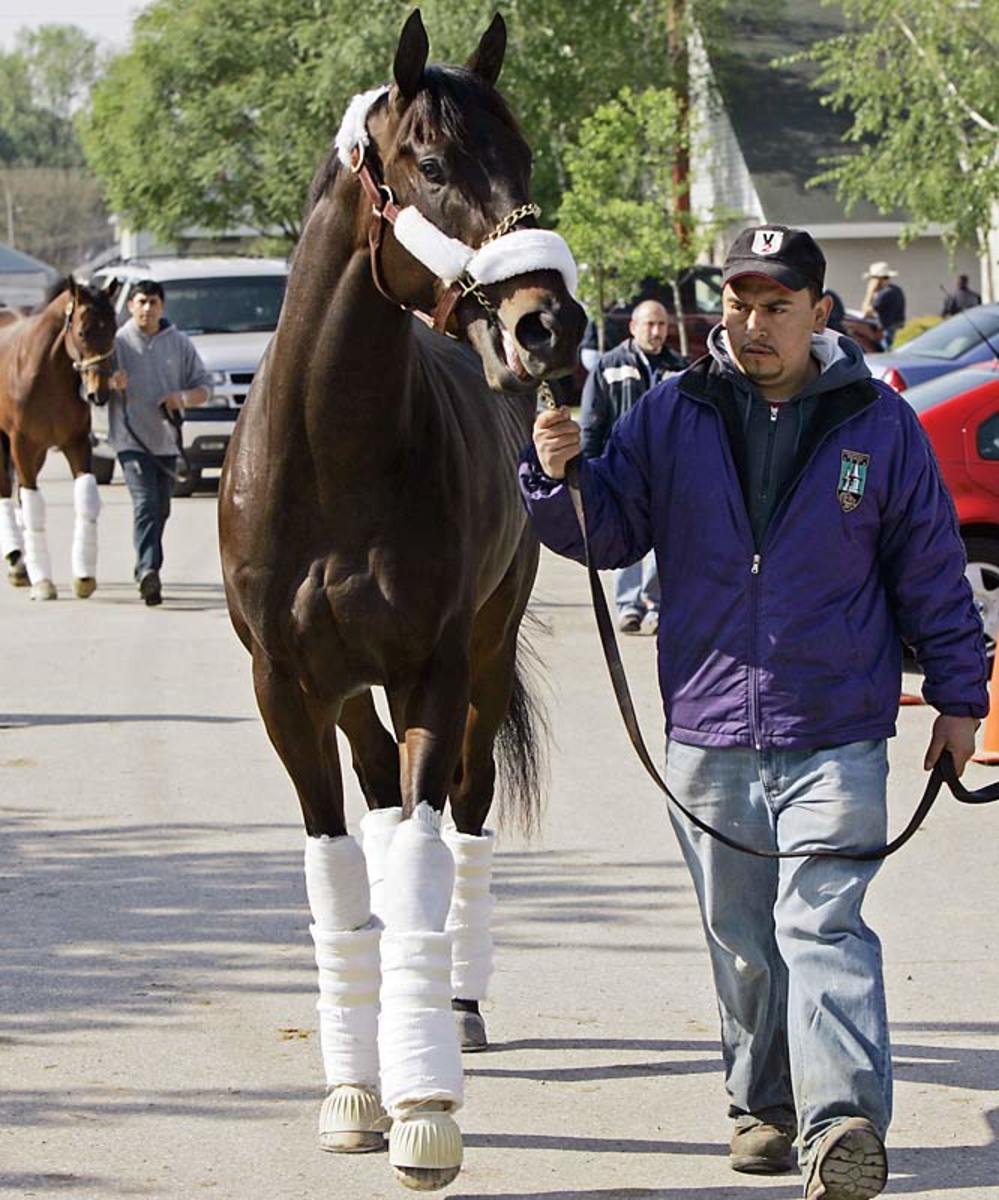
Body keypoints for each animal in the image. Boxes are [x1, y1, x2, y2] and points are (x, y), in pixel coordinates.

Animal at [0, 278, 118, 600]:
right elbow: (33, 506)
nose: (99, 393)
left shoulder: (75, 443)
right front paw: (43, 583)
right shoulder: (22, 445)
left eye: (113, 328)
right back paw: (17, 562)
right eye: (82, 331)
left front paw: (84, 577)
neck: (45, 375)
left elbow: (86, 498)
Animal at [218, 9, 585, 1190]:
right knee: (378, 793)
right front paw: (354, 1094)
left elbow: (426, 855)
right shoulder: (287, 689)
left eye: (523, 156)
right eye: (428, 164)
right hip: (345, 692)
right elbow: (338, 870)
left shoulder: (431, 668)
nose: (548, 326)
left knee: (461, 805)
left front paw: (425, 1105)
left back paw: (454, 1007)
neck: (332, 455)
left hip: (484, 658)